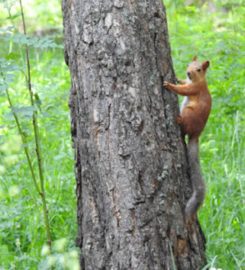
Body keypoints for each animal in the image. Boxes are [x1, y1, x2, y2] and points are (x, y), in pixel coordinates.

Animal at [163, 55, 211, 224]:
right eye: (188, 64)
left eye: (199, 69)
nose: (189, 72)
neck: (198, 80)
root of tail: (196, 134)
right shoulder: (189, 83)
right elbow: (184, 83)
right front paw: (178, 78)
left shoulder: (195, 88)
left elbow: (183, 90)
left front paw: (169, 84)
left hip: (189, 114)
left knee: (184, 128)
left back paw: (178, 121)